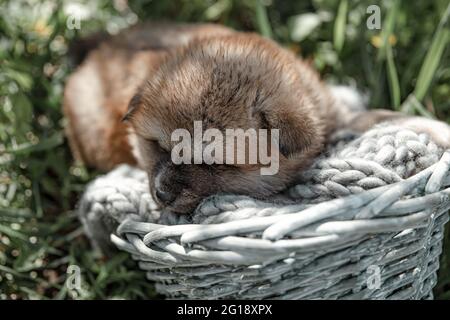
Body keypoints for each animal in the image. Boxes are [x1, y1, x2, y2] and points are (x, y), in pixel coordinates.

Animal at [63, 22, 450, 215]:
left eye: (215, 163)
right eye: (157, 146)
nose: (162, 194)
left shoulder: (339, 116)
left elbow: (387, 116)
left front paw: (437, 128)